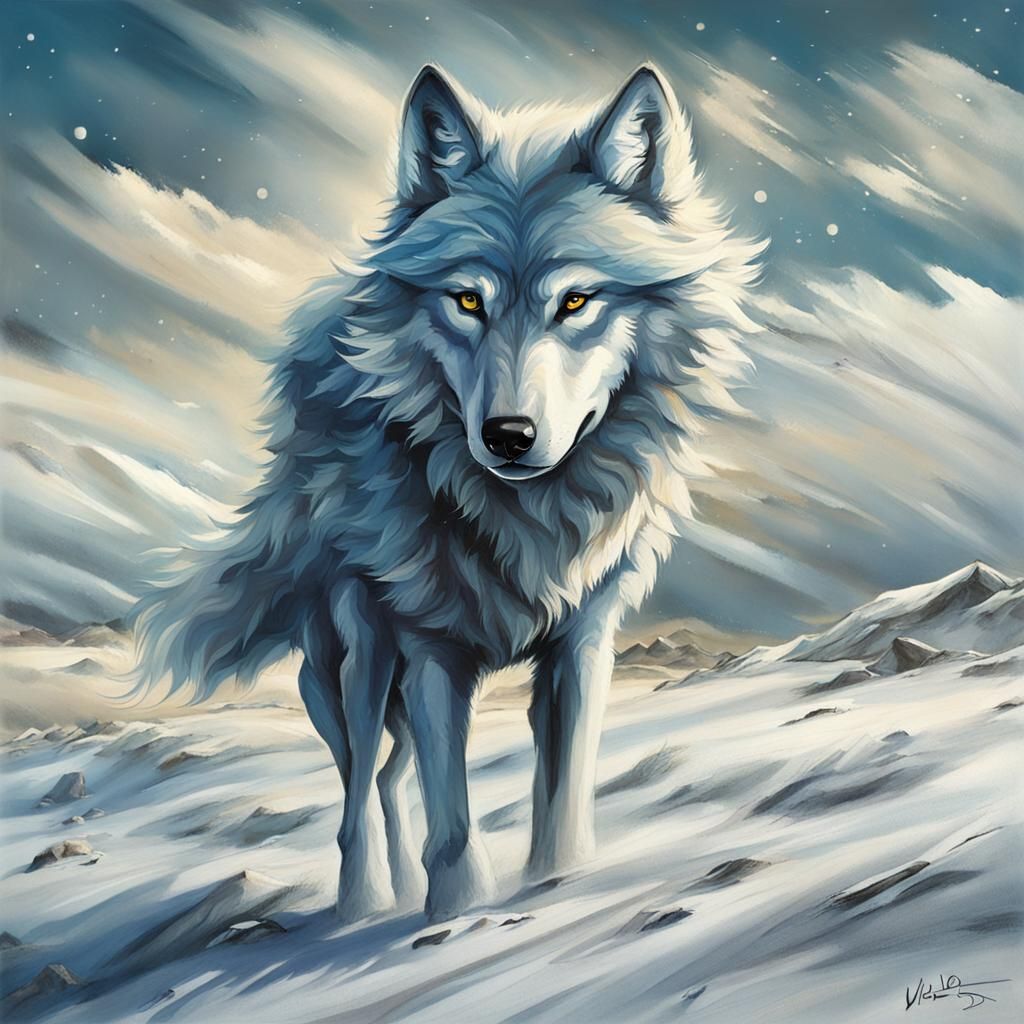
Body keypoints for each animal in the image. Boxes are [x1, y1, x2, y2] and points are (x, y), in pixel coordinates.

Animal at [131, 64, 763, 923]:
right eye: (468, 301)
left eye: (575, 301)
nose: (509, 435)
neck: (526, 520)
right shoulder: (431, 651)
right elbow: (452, 820)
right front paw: (457, 913)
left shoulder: (581, 644)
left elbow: (562, 802)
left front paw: (555, 888)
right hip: (358, 660)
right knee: (360, 794)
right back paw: (365, 905)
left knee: (390, 781)